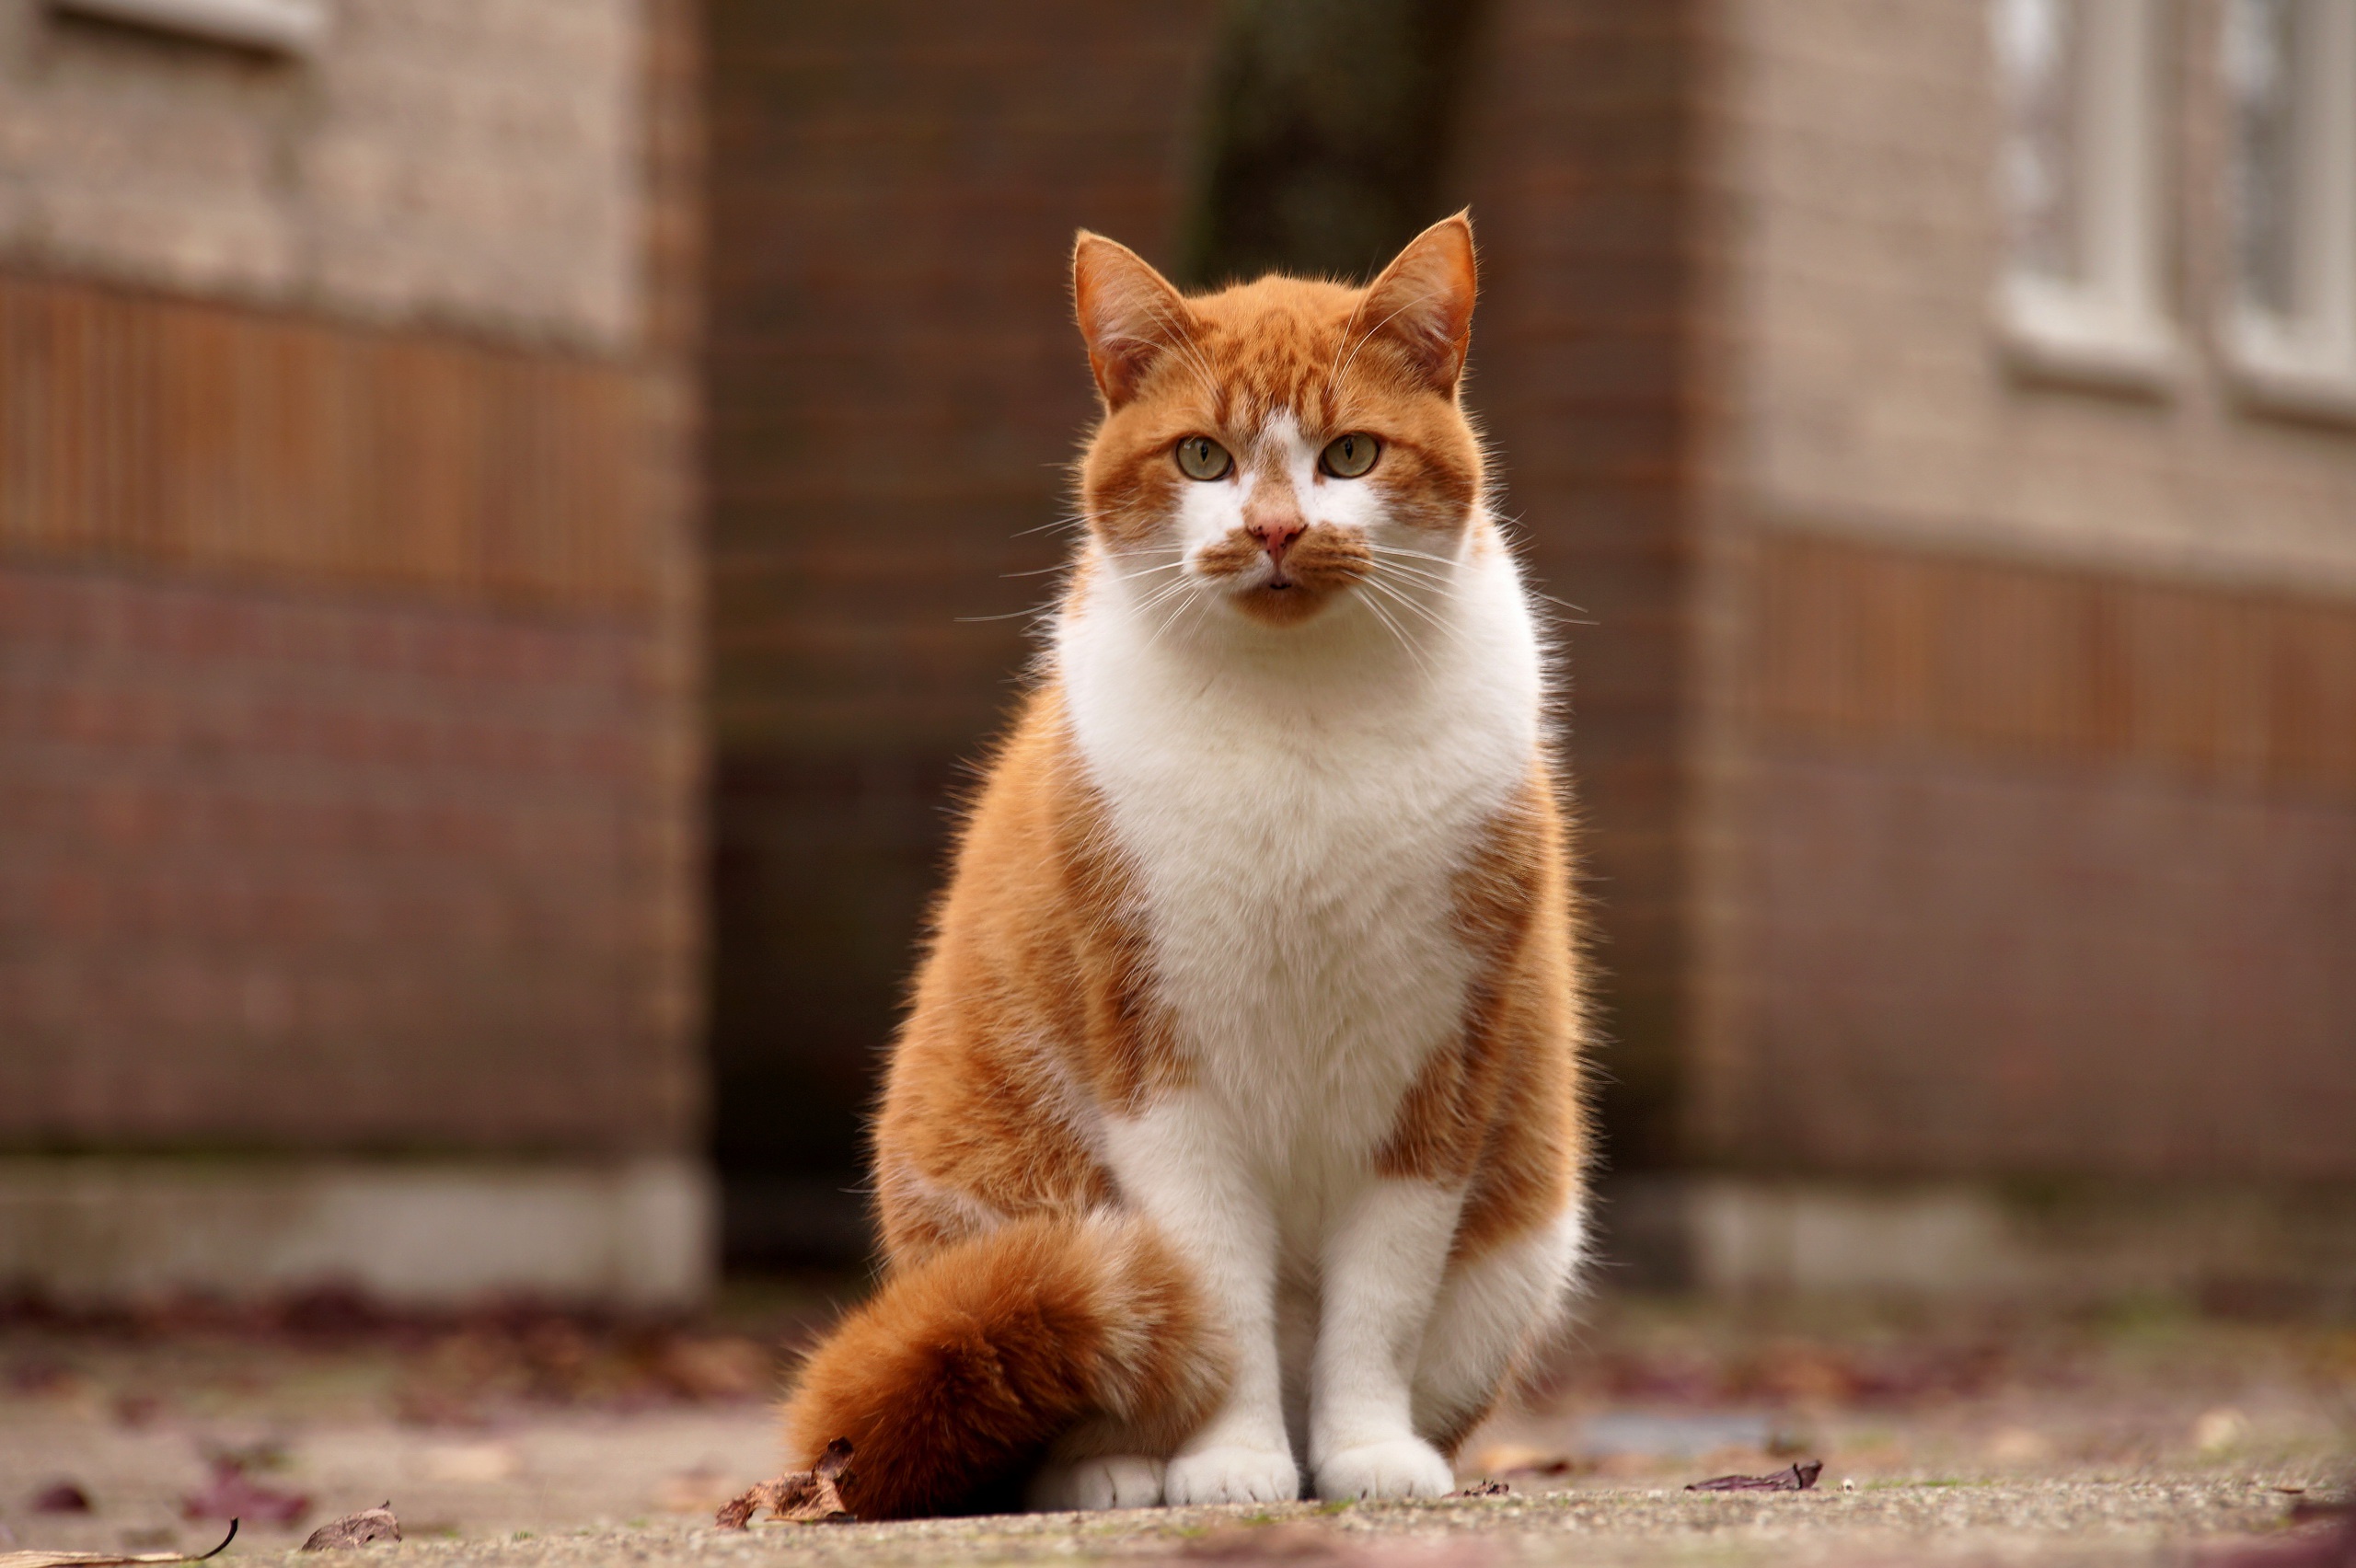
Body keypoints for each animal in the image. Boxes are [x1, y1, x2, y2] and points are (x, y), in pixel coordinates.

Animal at [772, 210, 1583, 1516]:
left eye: (1351, 454)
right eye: (1203, 458)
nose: (1276, 530)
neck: (1299, 725)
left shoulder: (1441, 1062)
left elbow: (1382, 1297)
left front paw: (1365, 1454)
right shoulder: (1155, 1058)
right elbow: (1211, 1293)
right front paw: (1230, 1462)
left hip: (1525, 1239)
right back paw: (1117, 1470)